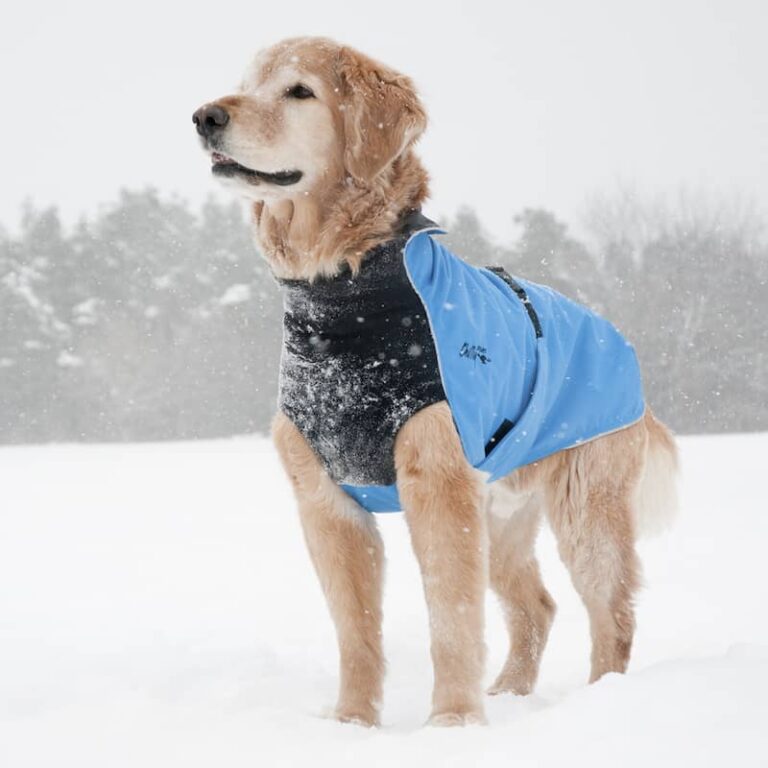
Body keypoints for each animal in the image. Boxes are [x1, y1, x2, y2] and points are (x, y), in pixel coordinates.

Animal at [194, 37, 680, 728]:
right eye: (246, 84)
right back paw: (508, 693)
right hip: (502, 513)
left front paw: (452, 723)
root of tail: (621, 340)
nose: (205, 116)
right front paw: (353, 723)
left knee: (612, 613)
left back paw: (599, 702)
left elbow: (451, 619)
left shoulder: (438, 481)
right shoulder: (325, 499)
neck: (346, 295)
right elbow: (355, 630)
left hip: (587, 508)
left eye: (298, 92)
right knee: (537, 606)